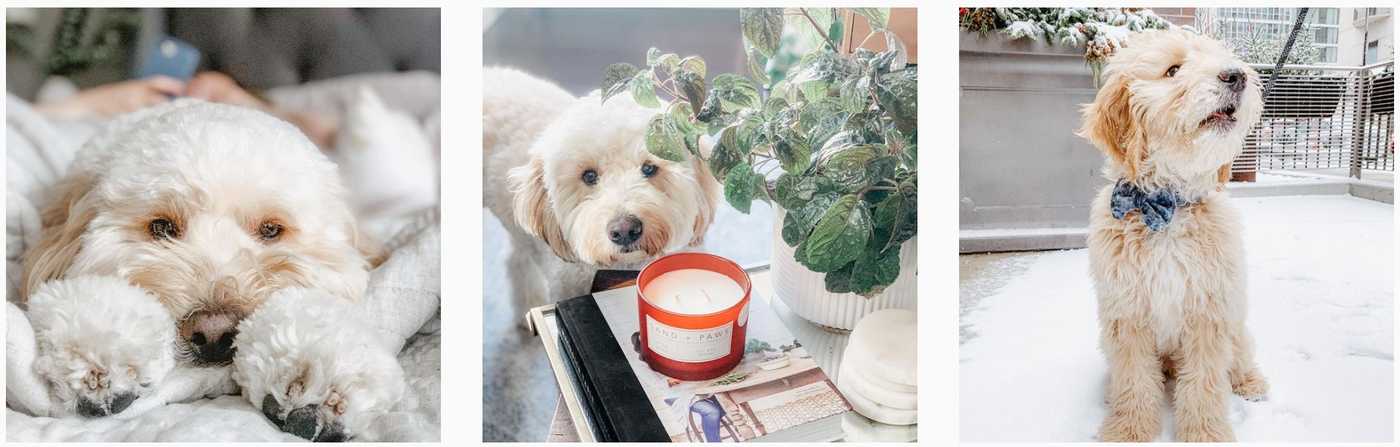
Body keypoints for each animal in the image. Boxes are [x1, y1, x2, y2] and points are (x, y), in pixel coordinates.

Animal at [1080, 29, 1271, 442]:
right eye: (1172, 70)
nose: (1236, 76)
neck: (1168, 207)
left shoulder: (1209, 313)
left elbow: (1204, 383)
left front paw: (1206, 434)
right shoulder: (1127, 314)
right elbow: (1135, 378)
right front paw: (1128, 430)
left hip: (1236, 326)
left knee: (1240, 358)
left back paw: (1250, 383)